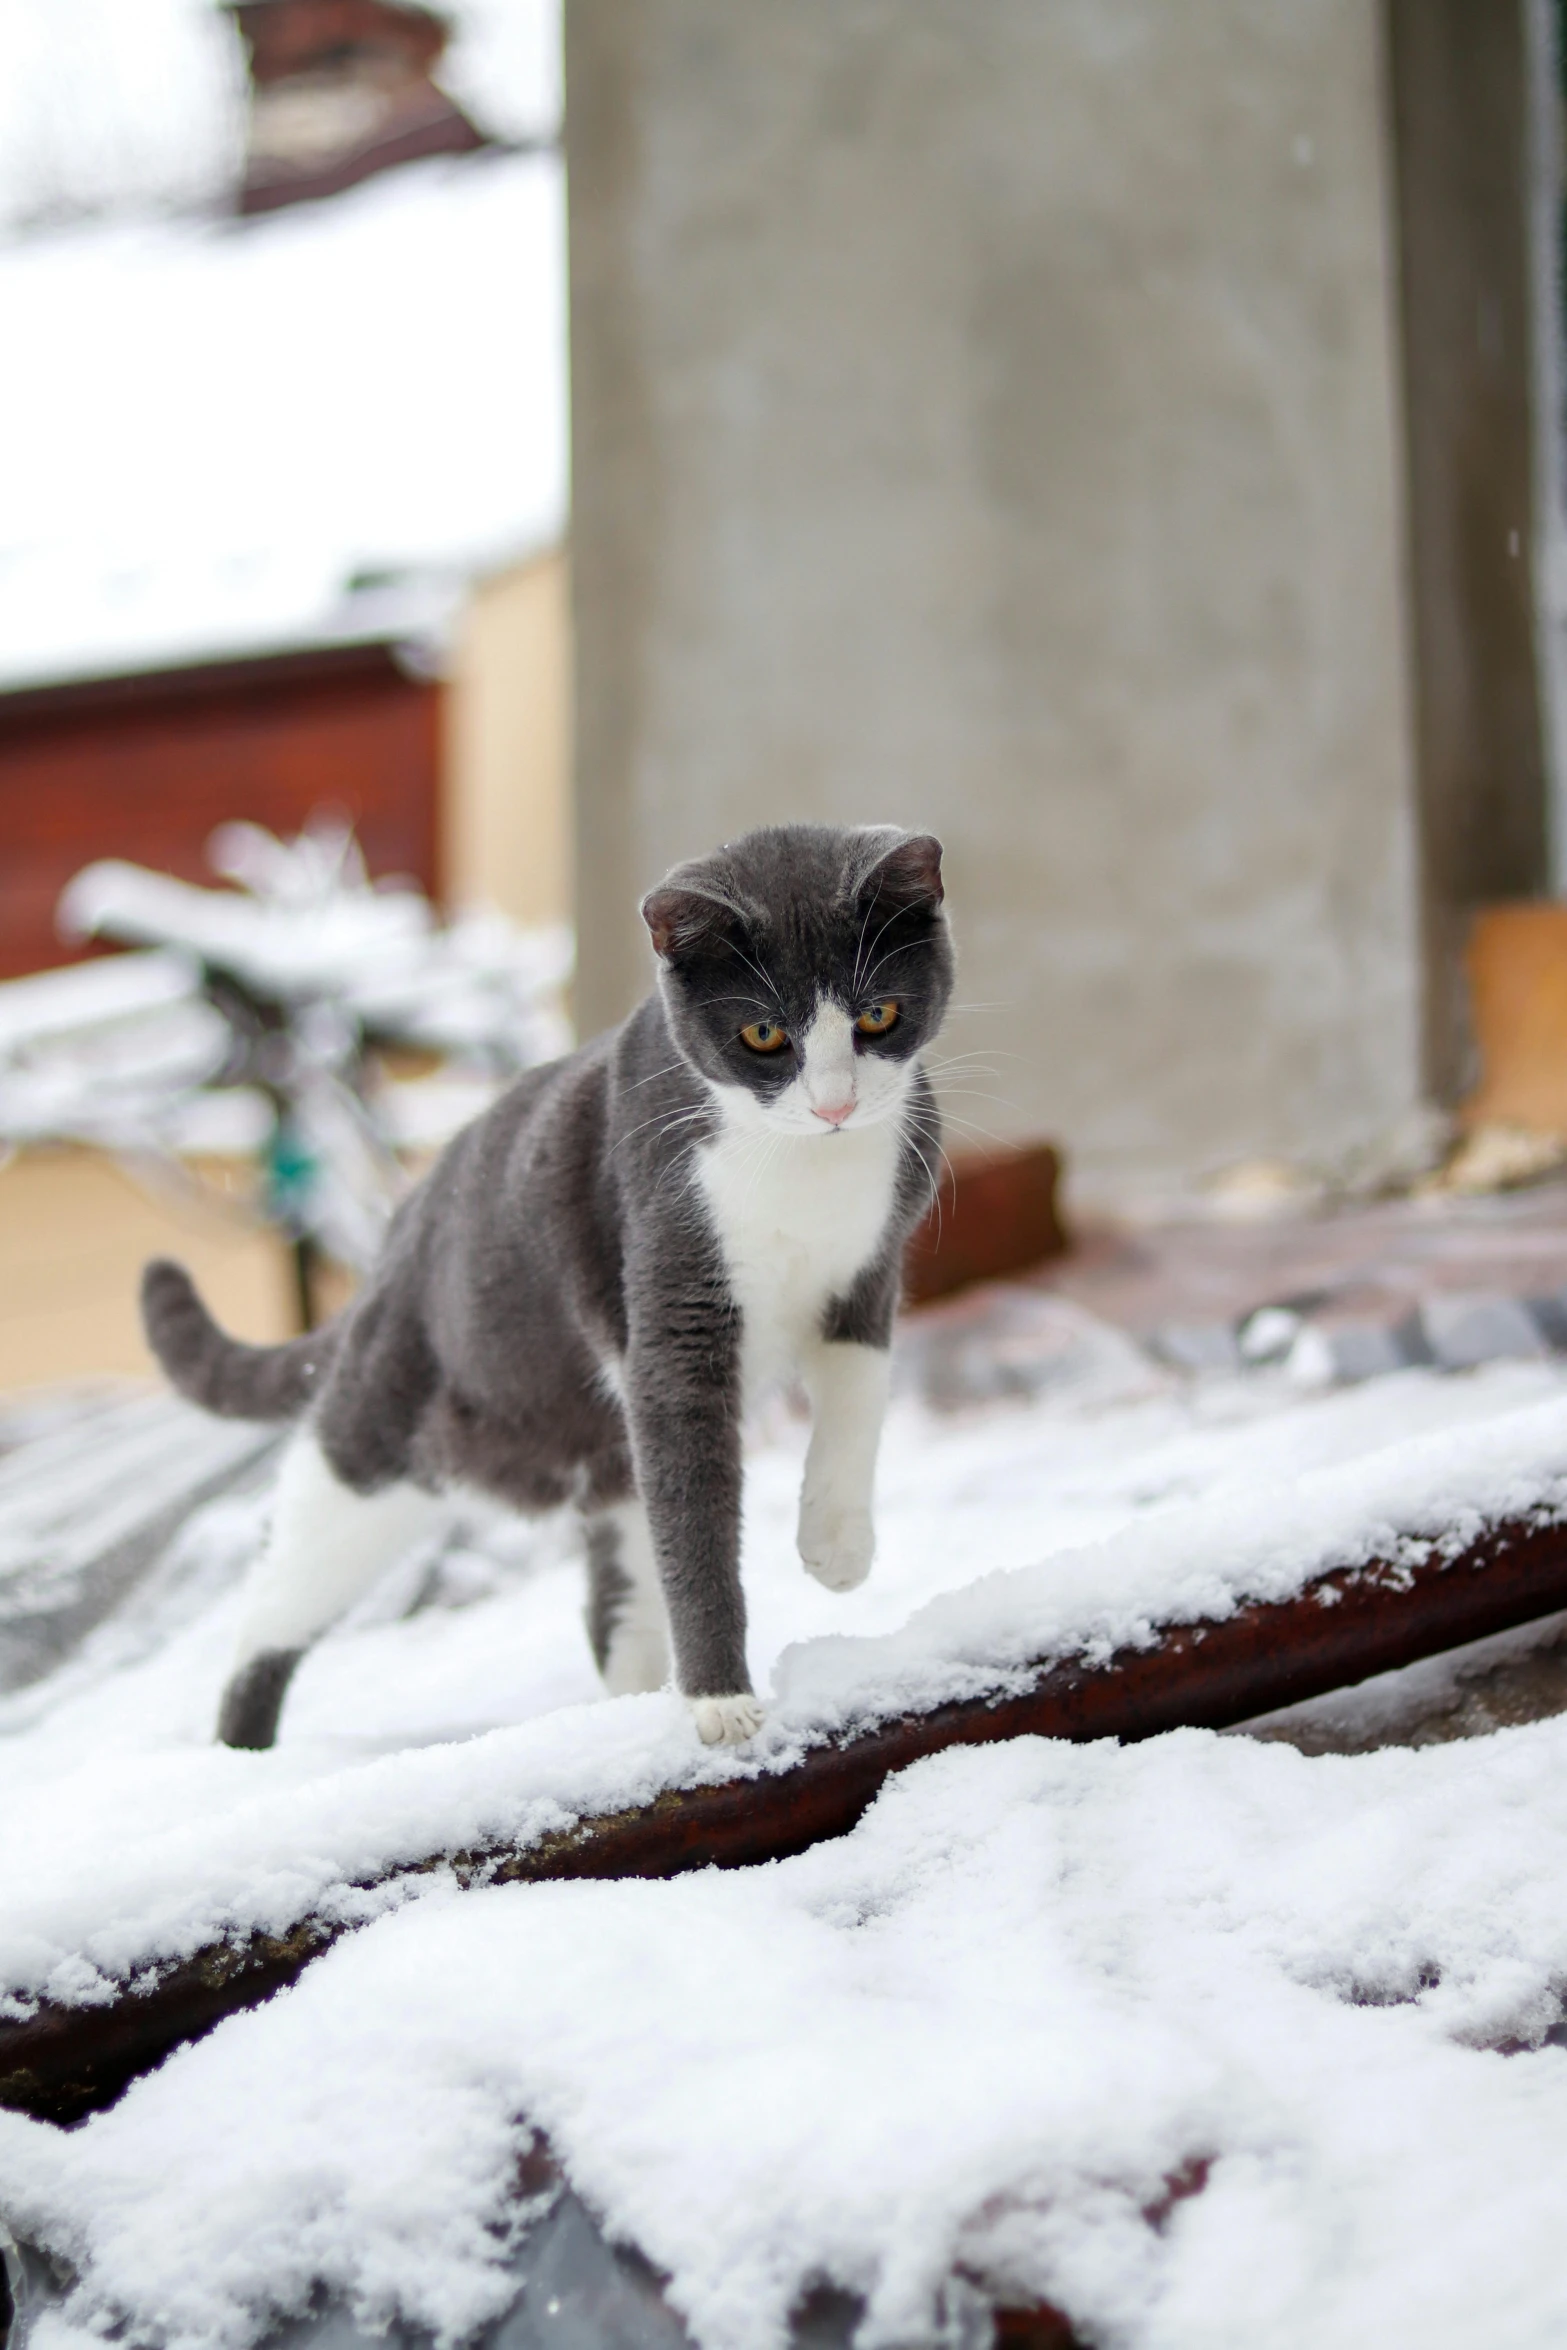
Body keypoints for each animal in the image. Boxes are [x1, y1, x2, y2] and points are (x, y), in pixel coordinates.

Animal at [143, 822, 958, 1748]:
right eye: (761, 1034)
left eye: (877, 1015)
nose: (834, 1105)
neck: (803, 1167)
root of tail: (397, 1239)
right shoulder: (671, 1298)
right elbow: (697, 1525)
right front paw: (719, 1703)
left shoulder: (868, 1269)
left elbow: (858, 1398)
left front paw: (836, 1547)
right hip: (372, 1446)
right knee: (275, 1600)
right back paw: (240, 1752)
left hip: (610, 1468)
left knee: (619, 1601)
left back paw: (632, 1703)